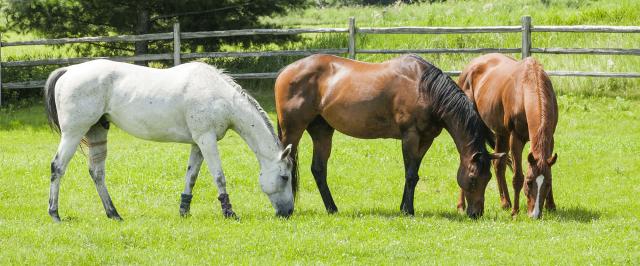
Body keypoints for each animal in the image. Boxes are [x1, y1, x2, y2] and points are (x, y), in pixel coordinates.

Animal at [45, 59, 296, 221]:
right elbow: (219, 176)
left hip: (97, 132)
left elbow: (191, 177)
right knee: (57, 167)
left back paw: (113, 214)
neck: (220, 97)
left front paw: (184, 211)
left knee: (97, 173)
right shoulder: (207, 140)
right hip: (74, 133)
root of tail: (69, 70)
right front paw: (229, 213)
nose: (288, 212)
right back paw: (55, 214)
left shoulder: (198, 143)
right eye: (285, 177)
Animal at [272, 54, 502, 218]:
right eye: (473, 178)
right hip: (292, 130)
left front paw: (404, 206)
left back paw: (332, 208)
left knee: (319, 169)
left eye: (488, 178)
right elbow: (411, 174)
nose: (476, 214)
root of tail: (285, 71)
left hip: (322, 131)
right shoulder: (410, 136)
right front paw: (408, 210)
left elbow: (413, 173)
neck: (425, 88)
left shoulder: (426, 140)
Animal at [458, 53, 556, 218]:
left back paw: (505, 202)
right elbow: (517, 177)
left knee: (498, 164)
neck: (526, 87)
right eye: (529, 182)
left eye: (547, 183)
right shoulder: (516, 138)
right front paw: (515, 211)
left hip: (501, 134)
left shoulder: (550, 139)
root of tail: (470, 66)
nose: (534, 214)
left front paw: (551, 206)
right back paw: (461, 206)